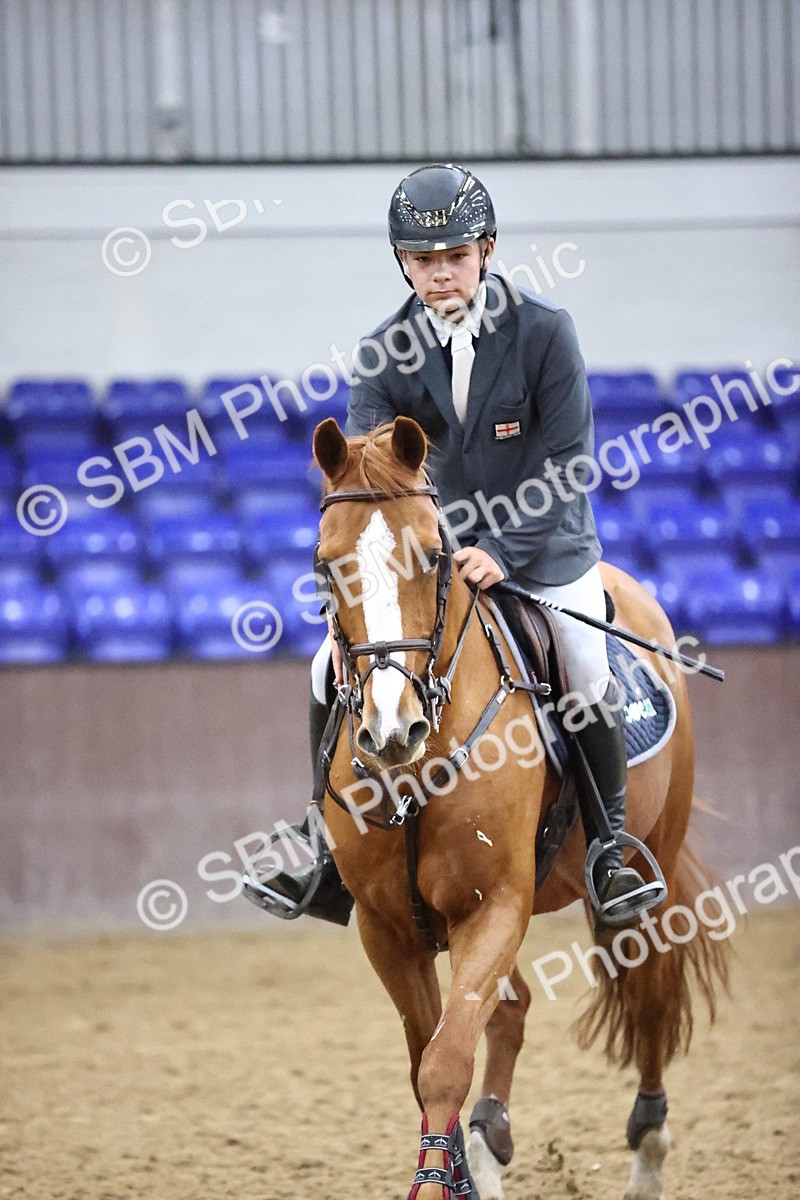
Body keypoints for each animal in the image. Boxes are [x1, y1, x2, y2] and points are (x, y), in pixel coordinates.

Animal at [309, 413, 729, 1200]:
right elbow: (428, 1059)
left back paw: (647, 1151)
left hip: (640, 875)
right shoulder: (389, 929)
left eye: (436, 554)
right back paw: (489, 1141)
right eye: (325, 565)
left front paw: (441, 1182)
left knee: (650, 993)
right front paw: (462, 1168)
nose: (391, 729)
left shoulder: (496, 903)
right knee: (511, 1010)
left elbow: (445, 1063)